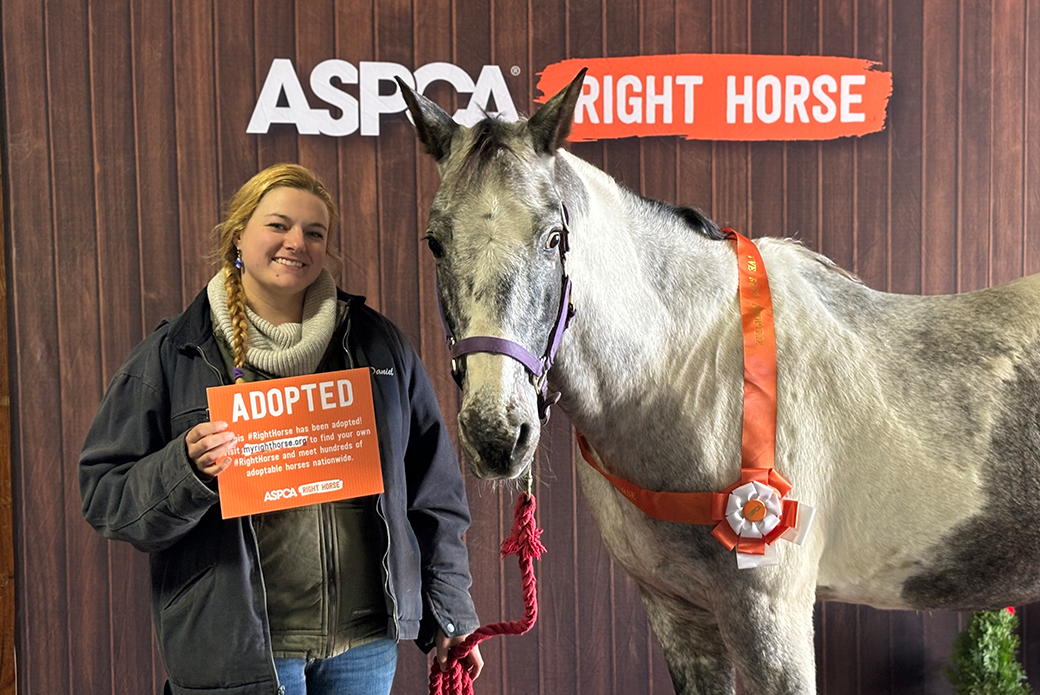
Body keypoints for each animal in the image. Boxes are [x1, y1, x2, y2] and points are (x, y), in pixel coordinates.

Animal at [393, 71, 1040, 695]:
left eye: (555, 237)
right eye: (435, 243)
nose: (497, 434)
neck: (696, 371)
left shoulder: (770, 618)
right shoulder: (678, 613)